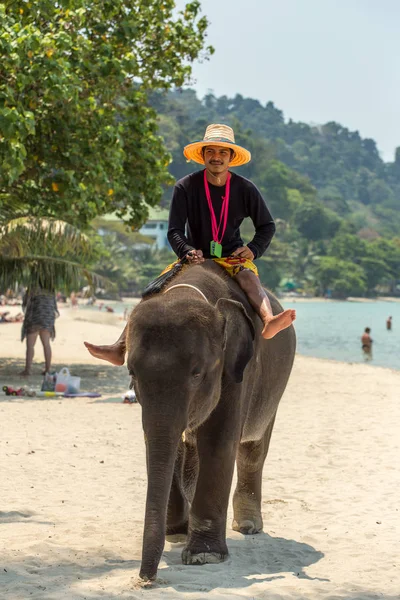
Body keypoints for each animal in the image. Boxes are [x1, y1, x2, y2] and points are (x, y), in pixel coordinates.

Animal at [111, 260, 296, 580]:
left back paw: (248, 526)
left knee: (252, 451)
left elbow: (218, 441)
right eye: (132, 373)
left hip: (275, 389)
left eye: (197, 373)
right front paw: (175, 533)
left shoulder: (239, 368)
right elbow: (163, 444)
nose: (146, 578)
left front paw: (204, 556)